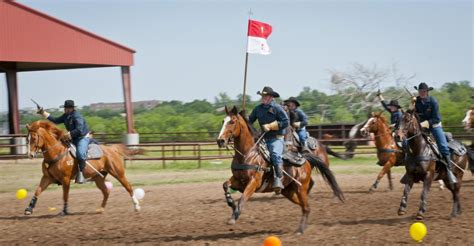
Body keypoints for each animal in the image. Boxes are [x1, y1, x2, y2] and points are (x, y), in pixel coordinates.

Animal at [216, 105, 344, 233]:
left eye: (232, 121)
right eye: (223, 121)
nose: (220, 140)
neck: (247, 154)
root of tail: (304, 158)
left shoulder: (253, 183)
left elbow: (242, 199)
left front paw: (234, 216)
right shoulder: (238, 181)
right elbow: (225, 185)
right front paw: (231, 203)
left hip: (300, 187)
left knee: (306, 206)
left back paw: (300, 230)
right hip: (288, 191)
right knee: (304, 206)